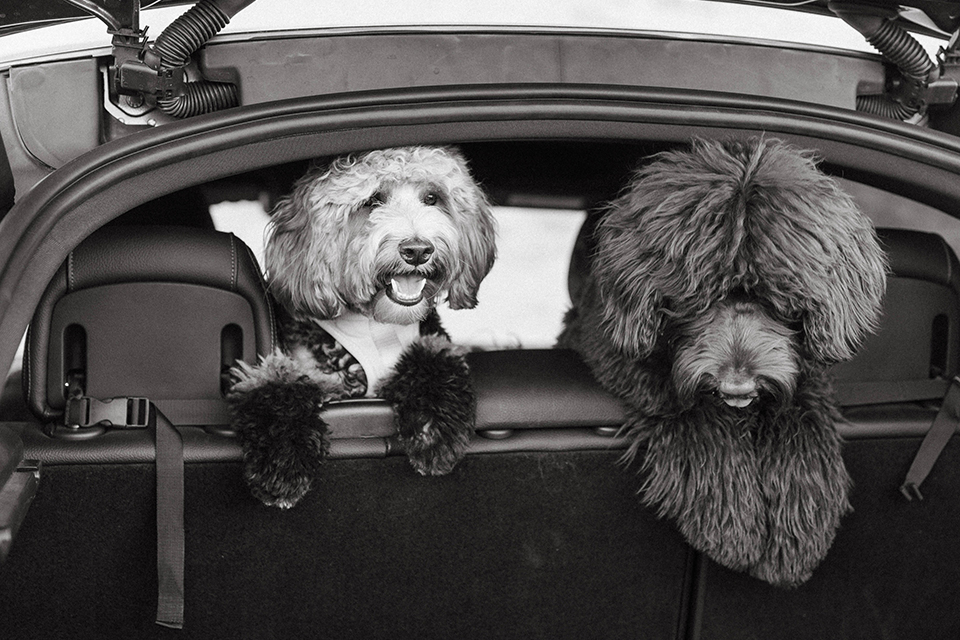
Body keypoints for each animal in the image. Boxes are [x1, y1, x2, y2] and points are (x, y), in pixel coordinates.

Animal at [225, 146, 496, 510]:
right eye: (372, 201)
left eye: (432, 198)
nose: (417, 250)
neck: (373, 321)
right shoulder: (293, 367)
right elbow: (276, 383)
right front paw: (282, 465)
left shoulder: (432, 341)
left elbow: (434, 359)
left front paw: (434, 433)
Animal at [560, 138, 888, 588]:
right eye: (695, 300)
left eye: (778, 300)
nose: (737, 386)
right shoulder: (610, 348)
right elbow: (690, 411)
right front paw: (731, 523)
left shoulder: (806, 378)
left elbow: (800, 415)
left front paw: (800, 528)